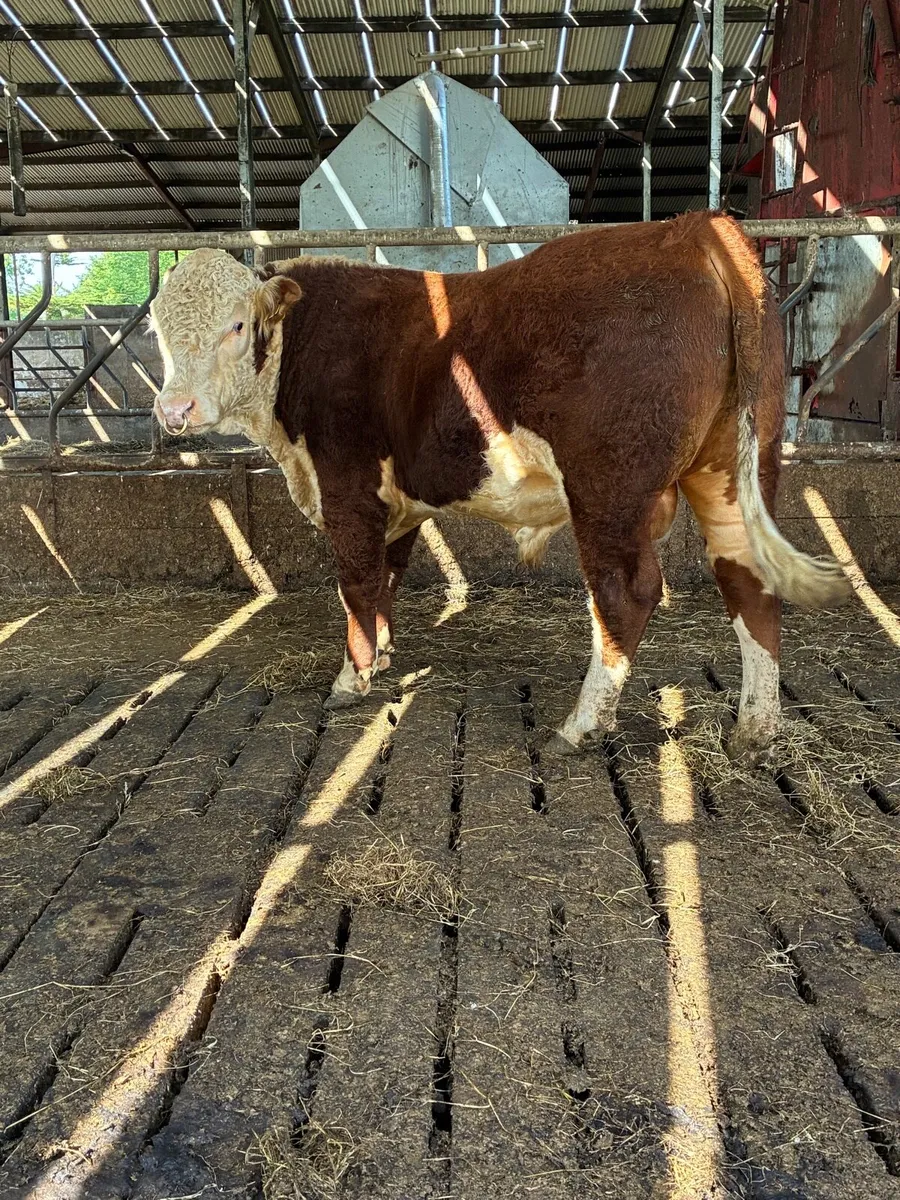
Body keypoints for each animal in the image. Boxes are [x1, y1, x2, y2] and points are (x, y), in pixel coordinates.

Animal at [150, 214, 850, 760]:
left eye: (237, 326)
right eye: (156, 328)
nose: (175, 409)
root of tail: (693, 227)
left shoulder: (346, 484)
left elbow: (357, 583)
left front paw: (352, 680)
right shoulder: (394, 501)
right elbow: (387, 580)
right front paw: (382, 657)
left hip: (610, 486)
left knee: (626, 593)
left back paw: (580, 727)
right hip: (732, 467)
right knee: (748, 580)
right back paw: (754, 730)